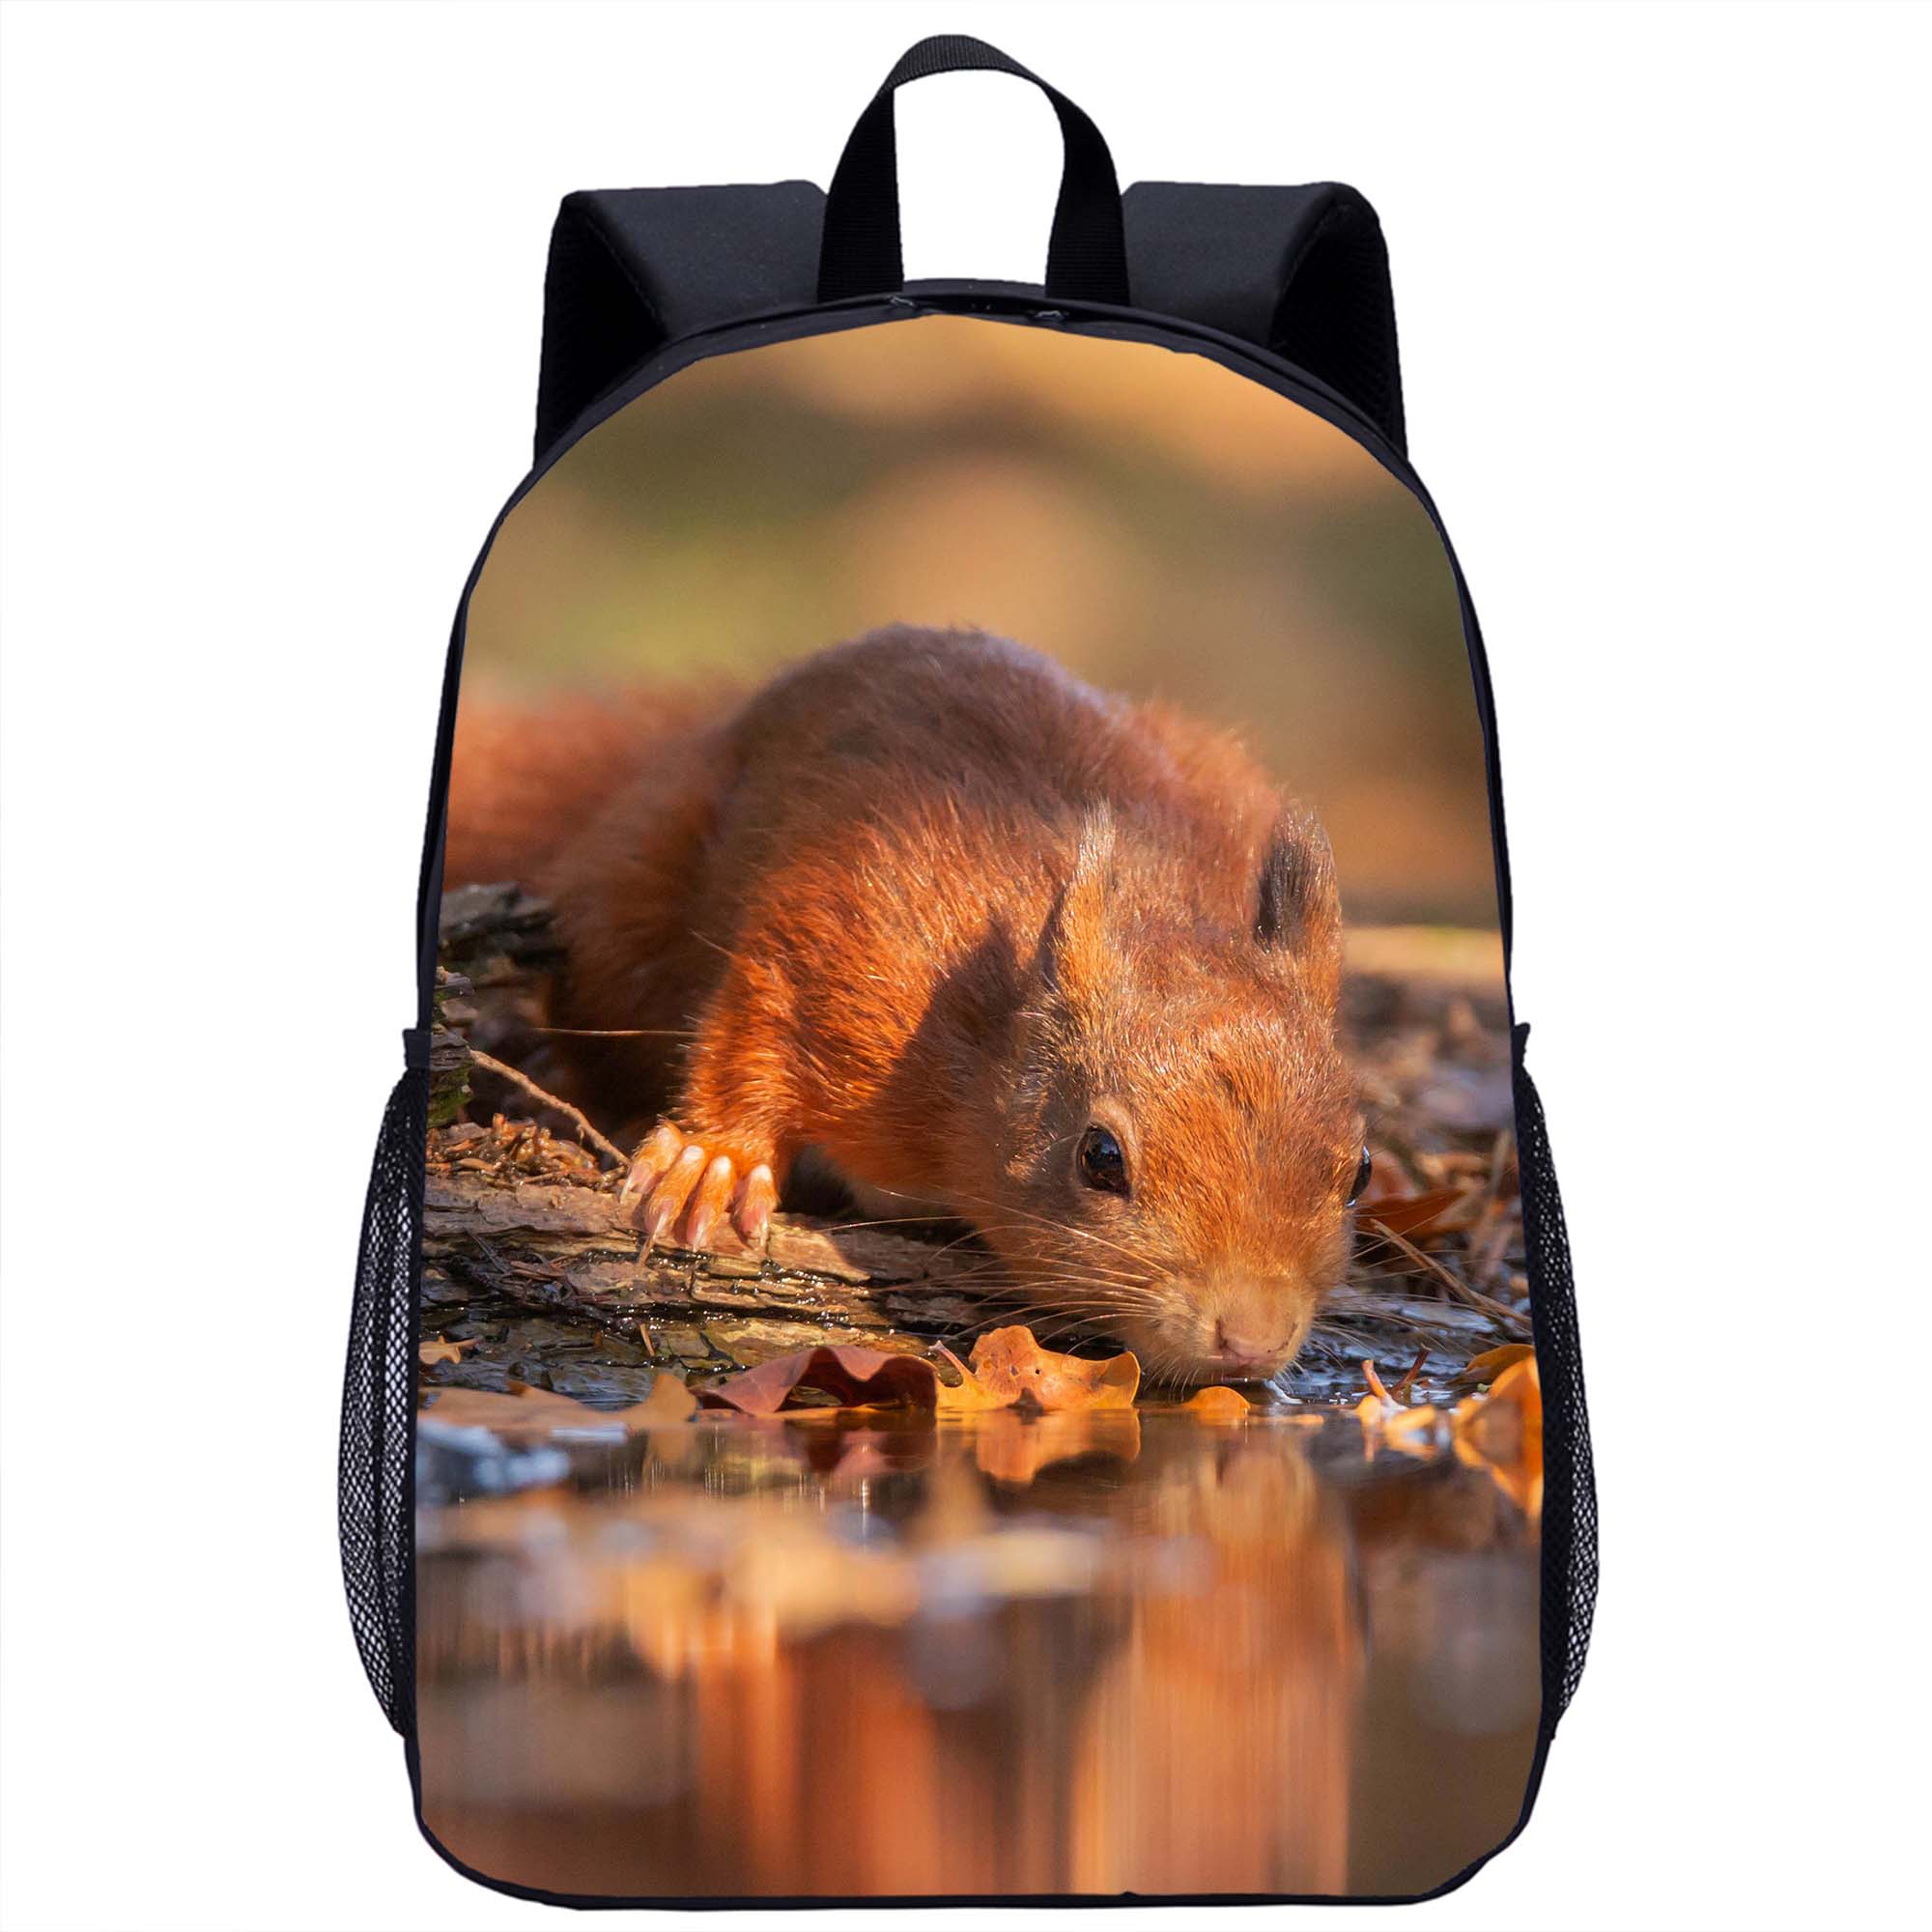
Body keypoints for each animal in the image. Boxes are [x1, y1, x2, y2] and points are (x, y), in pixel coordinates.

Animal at [443, 626, 1367, 1383]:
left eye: (1359, 1172)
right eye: (1099, 1158)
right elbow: (755, 1019)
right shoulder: (852, 932)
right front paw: (714, 1160)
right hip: (627, 907)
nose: (1252, 1338)